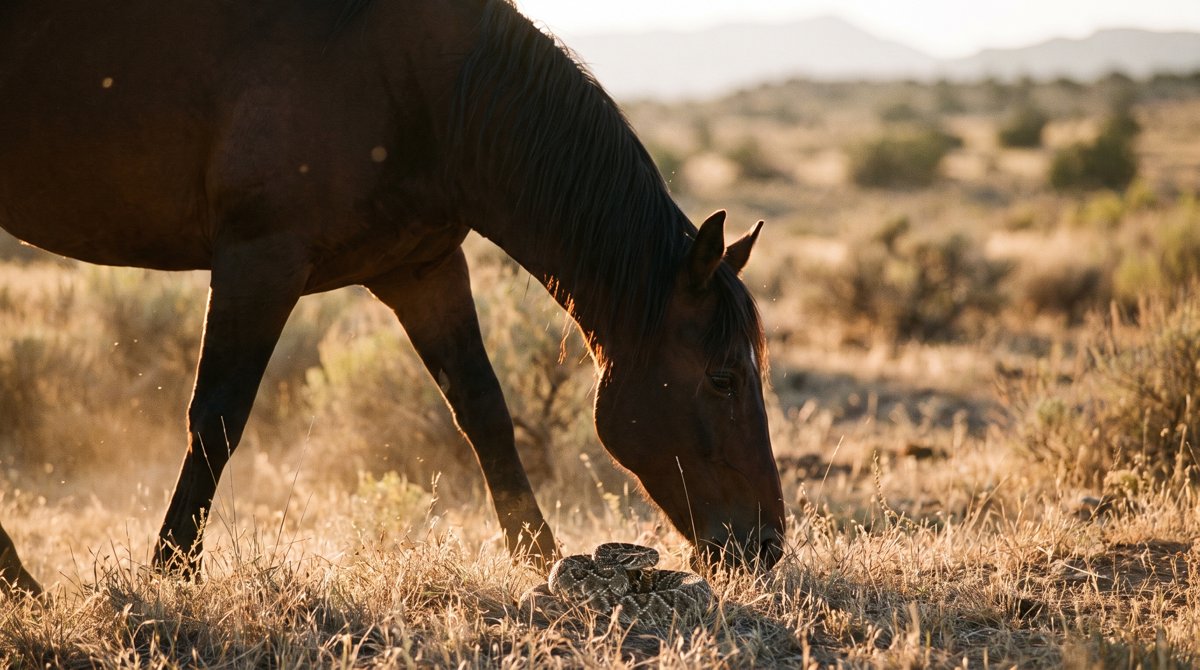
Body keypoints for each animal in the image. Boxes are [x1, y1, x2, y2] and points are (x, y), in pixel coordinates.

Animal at [0, 0, 786, 593]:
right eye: (723, 377)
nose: (767, 544)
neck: (419, 88)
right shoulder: (261, 260)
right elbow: (218, 418)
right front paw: (172, 571)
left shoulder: (424, 269)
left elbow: (484, 410)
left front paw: (539, 556)